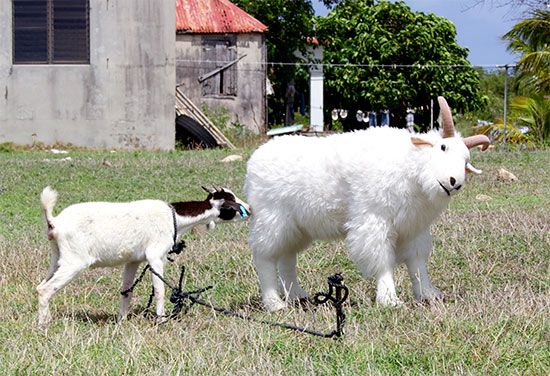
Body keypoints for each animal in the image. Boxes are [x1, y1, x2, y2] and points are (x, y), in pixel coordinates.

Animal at [35, 187, 250, 326]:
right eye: (231, 200)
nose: (249, 208)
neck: (174, 218)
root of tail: (54, 222)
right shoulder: (155, 256)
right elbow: (159, 291)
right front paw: (161, 321)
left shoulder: (133, 260)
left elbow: (126, 291)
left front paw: (121, 321)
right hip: (75, 261)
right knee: (46, 289)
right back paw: (43, 326)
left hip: (57, 258)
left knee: (40, 286)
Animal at [246, 96, 492, 312]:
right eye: (442, 148)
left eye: (467, 160)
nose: (454, 182)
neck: (409, 166)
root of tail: (254, 163)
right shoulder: (374, 221)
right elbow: (382, 260)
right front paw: (390, 300)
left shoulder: (414, 229)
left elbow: (417, 264)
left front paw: (428, 294)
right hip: (272, 220)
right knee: (264, 258)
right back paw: (275, 303)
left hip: (296, 228)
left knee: (287, 259)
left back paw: (297, 295)